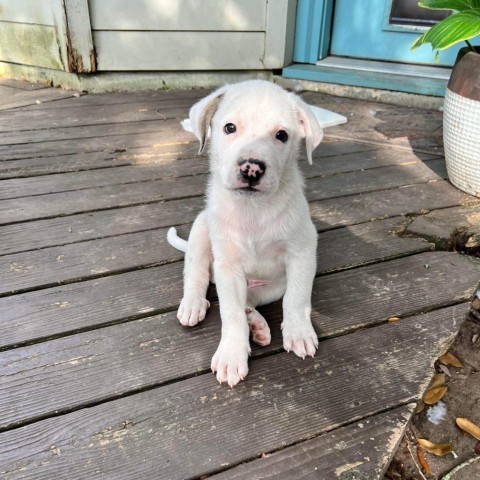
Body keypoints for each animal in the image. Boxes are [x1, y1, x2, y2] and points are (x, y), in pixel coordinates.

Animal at [168, 79, 322, 386]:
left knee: (251, 301)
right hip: (201, 230)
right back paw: (193, 304)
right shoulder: (228, 267)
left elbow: (297, 298)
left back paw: (257, 322)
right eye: (230, 128)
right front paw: (231, 355)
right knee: (196, 275)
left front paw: (299, 332)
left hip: (271, 285)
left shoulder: (302, 251)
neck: (253, 210)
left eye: (282, 135)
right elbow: (230, 314)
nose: (251, 168)